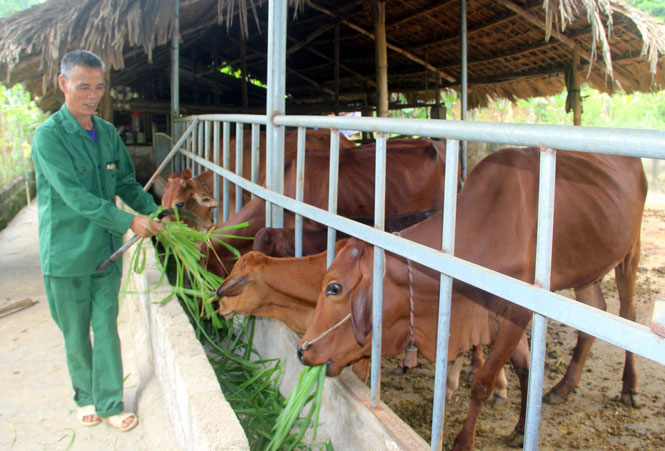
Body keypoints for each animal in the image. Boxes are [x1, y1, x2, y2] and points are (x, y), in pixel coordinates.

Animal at [298, 148, 644, 448]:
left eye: (334, 288)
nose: (302, 350)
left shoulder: (517, 313)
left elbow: (483, 382)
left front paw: (464, 441)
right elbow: (523, 367)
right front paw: (521, 427)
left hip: (630, 252)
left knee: (627, 315)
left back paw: (630, 387)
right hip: (588, 269)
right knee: (593, 316)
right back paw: (564, 388)